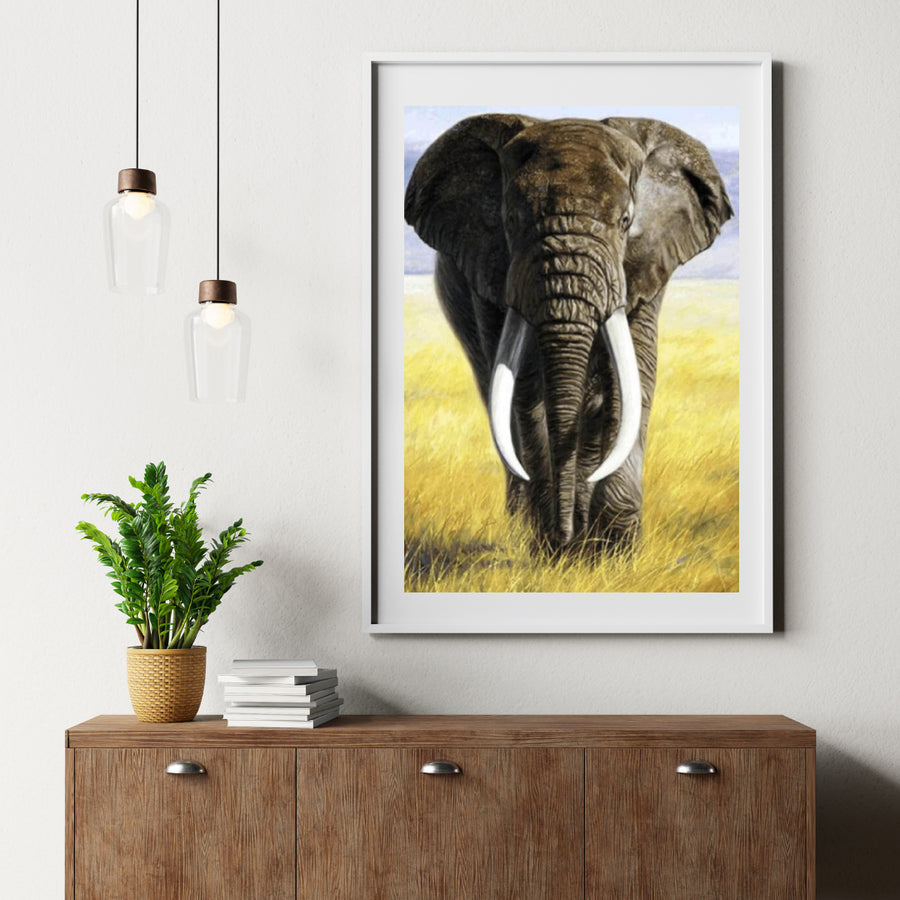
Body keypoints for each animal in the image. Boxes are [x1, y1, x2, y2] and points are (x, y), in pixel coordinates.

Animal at [404, 114, 733, 554]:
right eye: (511, 222)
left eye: (626, 222)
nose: (563, 537)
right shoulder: (490, 276)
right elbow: (525, 386)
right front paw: (552, 547)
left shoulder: (645, 266)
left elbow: (632, 378)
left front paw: (612, 552)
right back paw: (525, 524)